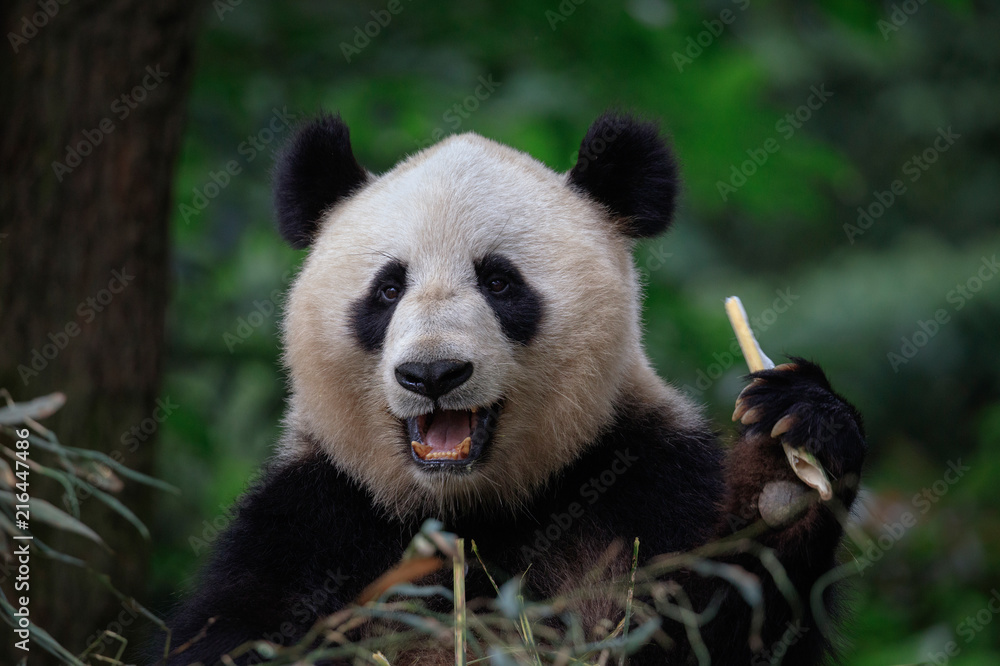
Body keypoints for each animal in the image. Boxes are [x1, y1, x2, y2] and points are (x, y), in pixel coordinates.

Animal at [160, 112, 866, 665]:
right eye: (388, 289)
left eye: (499, 282)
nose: (433, 374)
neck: (467, 512)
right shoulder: (314, 523)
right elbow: (235, 633)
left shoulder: (645, 486)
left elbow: (722, 630)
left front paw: (787, 464)